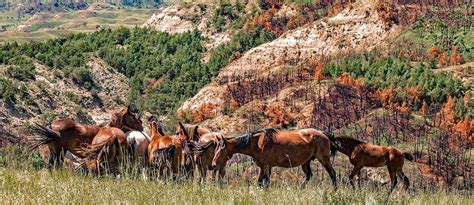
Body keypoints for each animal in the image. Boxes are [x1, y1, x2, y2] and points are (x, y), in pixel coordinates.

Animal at [212, 128, 340, 189]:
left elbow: (266, 182)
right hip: (306, 162)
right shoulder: (263, 167)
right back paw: (300, 188)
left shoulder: (267, 167)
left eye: (221, 149)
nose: (213, 164)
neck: (257, 142)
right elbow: (260, 182)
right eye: (216, 148)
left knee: (332, 174)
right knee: (308, 176)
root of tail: (323, 133)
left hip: (324, 159)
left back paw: (334, 190)